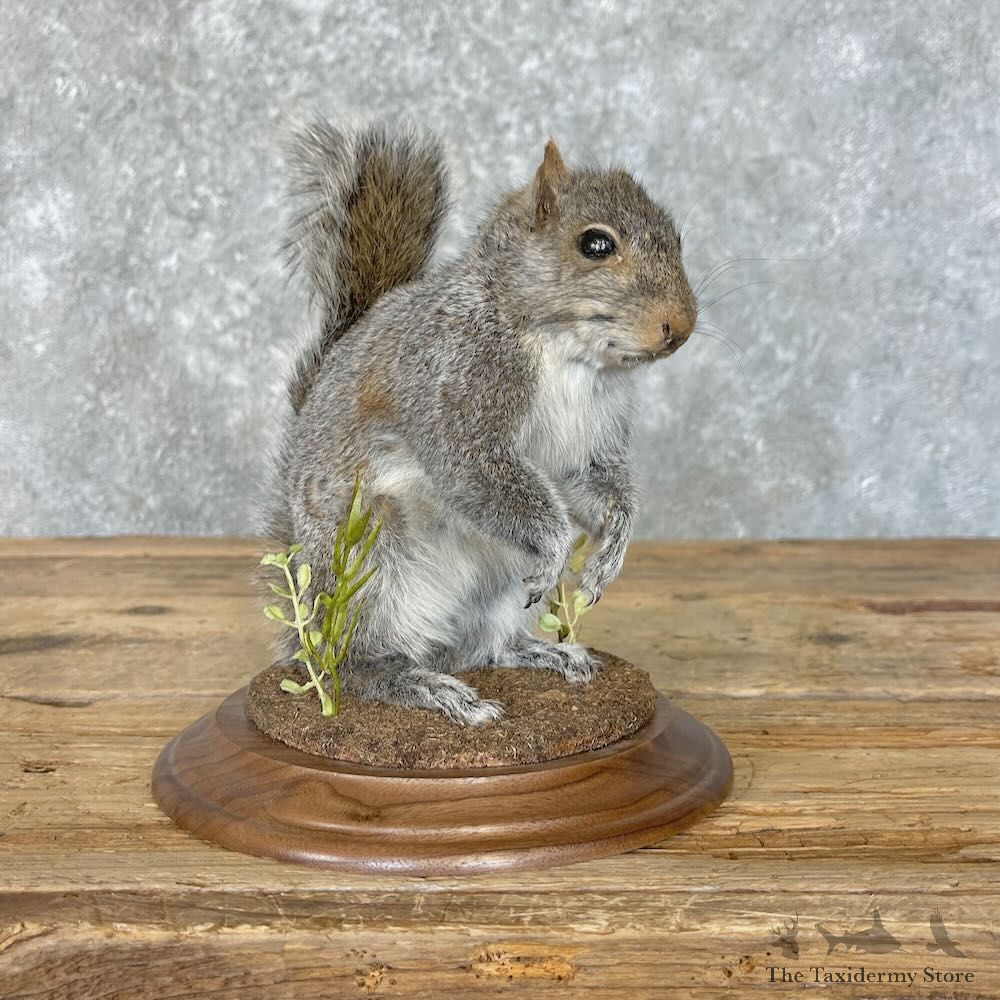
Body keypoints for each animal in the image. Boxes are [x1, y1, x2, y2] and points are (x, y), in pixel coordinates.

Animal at [261, 118, 698, 725]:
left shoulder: (588, 444)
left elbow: (596, 488)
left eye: (678, 239)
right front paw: (559, 547)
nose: (681, 327)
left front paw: (610, 552)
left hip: (499, 588)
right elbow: (473, 468)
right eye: (596, 244)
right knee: (350, 666)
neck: (565, 351)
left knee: (481, 648)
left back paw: (542, 653)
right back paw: (418, 684)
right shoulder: (457, 385)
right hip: (372, 562)